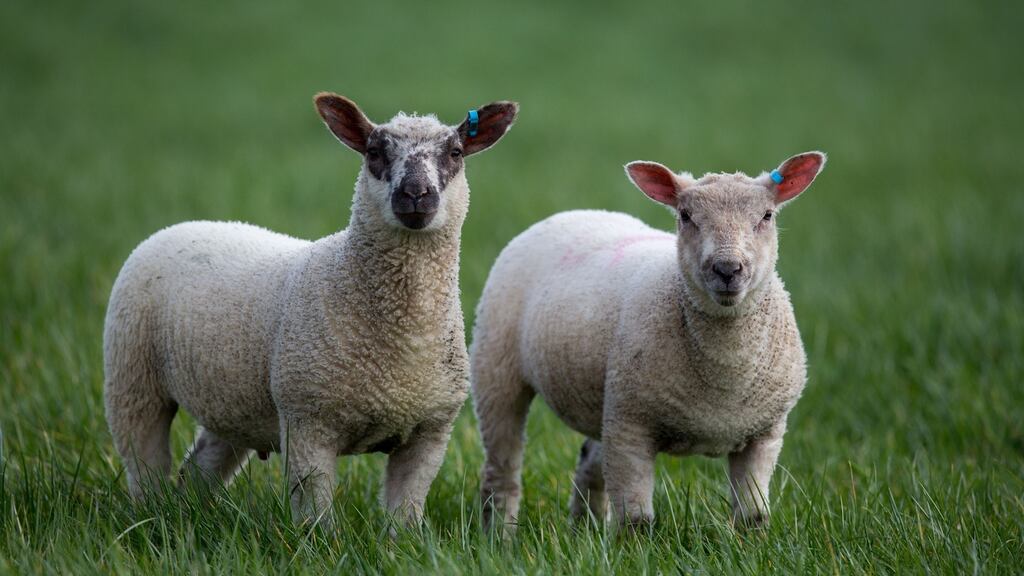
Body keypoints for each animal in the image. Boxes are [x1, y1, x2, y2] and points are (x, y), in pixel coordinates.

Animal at [103, 92, 519, 528]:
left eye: (455, 153)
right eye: (374, 152)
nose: (416, 194)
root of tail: (183, 225)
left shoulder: (430, 432)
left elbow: (403, 517)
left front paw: (400, 541)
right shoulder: (308, 422)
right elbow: (316, 516)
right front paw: (321, 541)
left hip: (234, 402)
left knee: (201, 466)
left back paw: (186, 513)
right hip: (132, 376)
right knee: (143, 461)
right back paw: (148, 516)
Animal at [470, 151, 826, 531]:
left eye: (767, 215)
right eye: (685, 216)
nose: (727, 269)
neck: (726, 377)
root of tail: (575, 212)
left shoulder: (765, 434)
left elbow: (753, 516)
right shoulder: (632, 428)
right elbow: (635, 521)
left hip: (608, 399)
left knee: (590, 461)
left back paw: (584, 527)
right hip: (497, 369)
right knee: (502, 470)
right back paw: (499, 535)